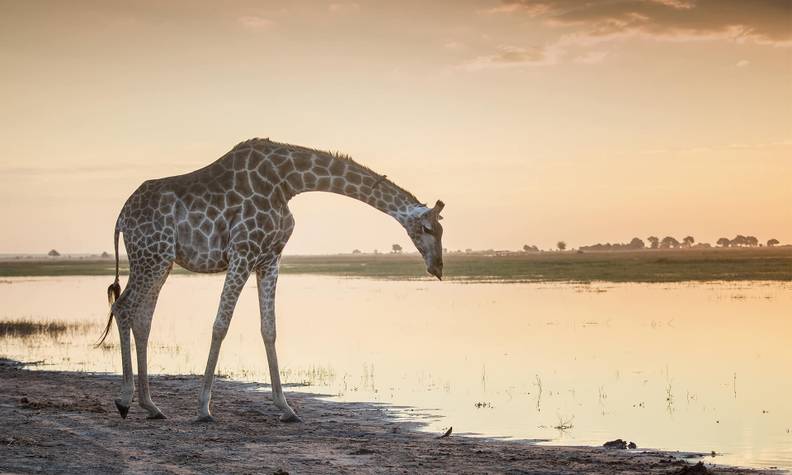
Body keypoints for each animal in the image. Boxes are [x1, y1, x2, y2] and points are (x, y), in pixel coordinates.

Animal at [99, 139, 446, 424]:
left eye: (441, 230)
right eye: (427, 229)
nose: (439, 267)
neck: (289, 182)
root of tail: (120, 218)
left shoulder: (269, 260)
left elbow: (269, 328)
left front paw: (286, 408)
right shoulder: (242, 253)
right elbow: (220, 324)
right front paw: (203, 409)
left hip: (161, 260)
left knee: (143, 318)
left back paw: (151, 406)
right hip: (151, 256)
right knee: (123, 307)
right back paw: (124, 401)